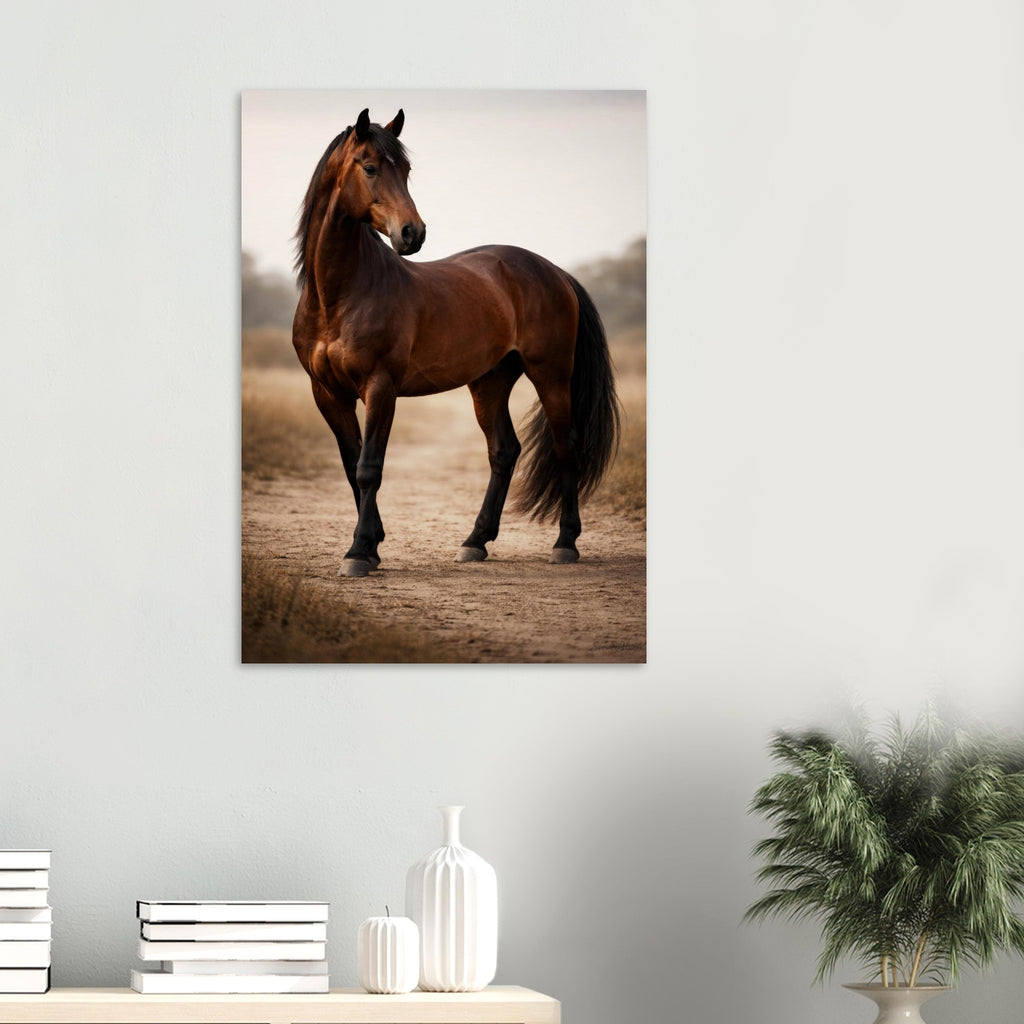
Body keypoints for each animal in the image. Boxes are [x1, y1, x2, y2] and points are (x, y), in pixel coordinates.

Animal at [291, 108, 620, 577]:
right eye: (370, 167)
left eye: (406, 170)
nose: (413, 233)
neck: (339, 295)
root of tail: (554, 271)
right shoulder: (328, 394)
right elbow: (352, 467)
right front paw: (371, 547)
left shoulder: (380, 388)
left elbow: (370, 467)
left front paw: (357, 552)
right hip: (490, 382)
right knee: (504, 451)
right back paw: (475, 541)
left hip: (551, 376)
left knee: (566, 446)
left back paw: (565, 543)